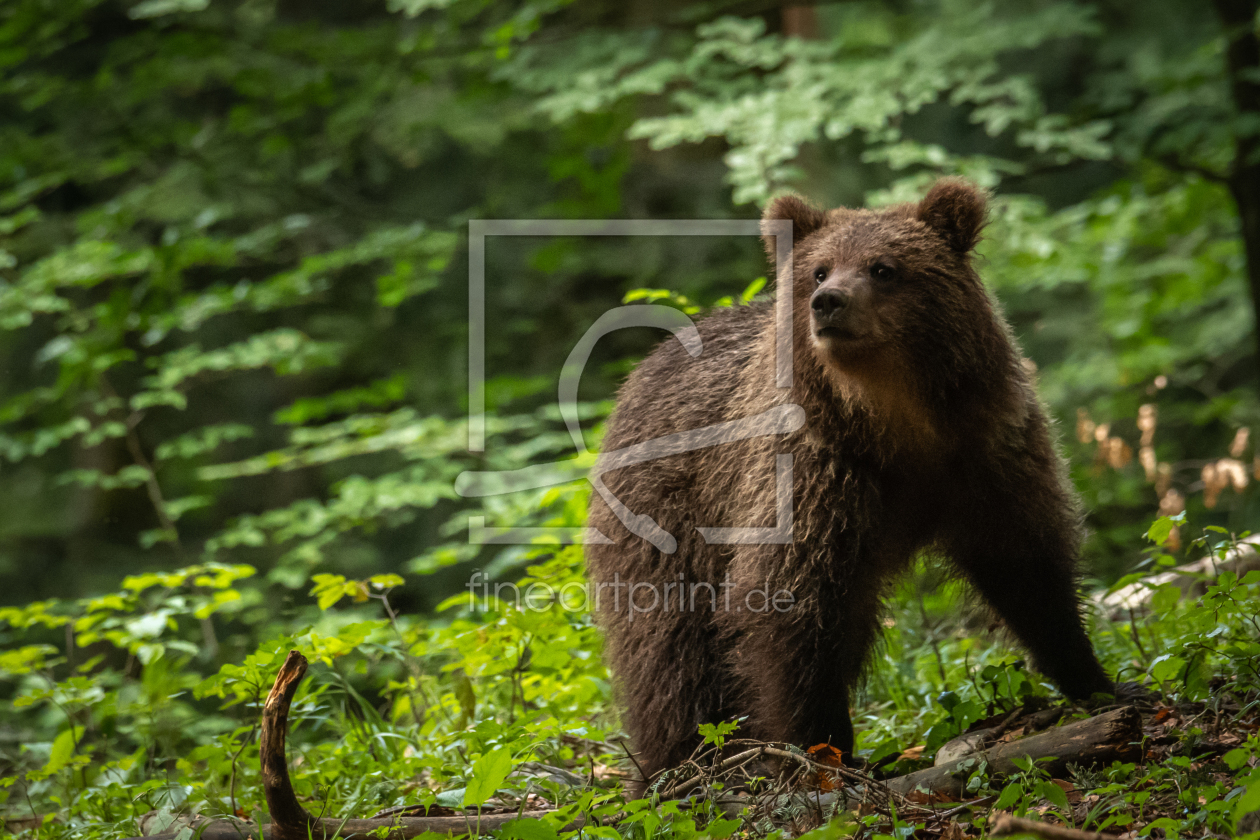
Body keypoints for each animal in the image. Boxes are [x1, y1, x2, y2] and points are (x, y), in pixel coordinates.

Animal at [584, 177, 1118, 790]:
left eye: (883, 268)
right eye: (819, 271)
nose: (828, 302)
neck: (897, 423)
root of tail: (641, 371)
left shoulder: (987, 450)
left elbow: (1028, 564)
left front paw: (1098, 681)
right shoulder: (814, 474)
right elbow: (789, 604)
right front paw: (823, 752)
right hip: (666, 516)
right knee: (669, 645)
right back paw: (684, 762)